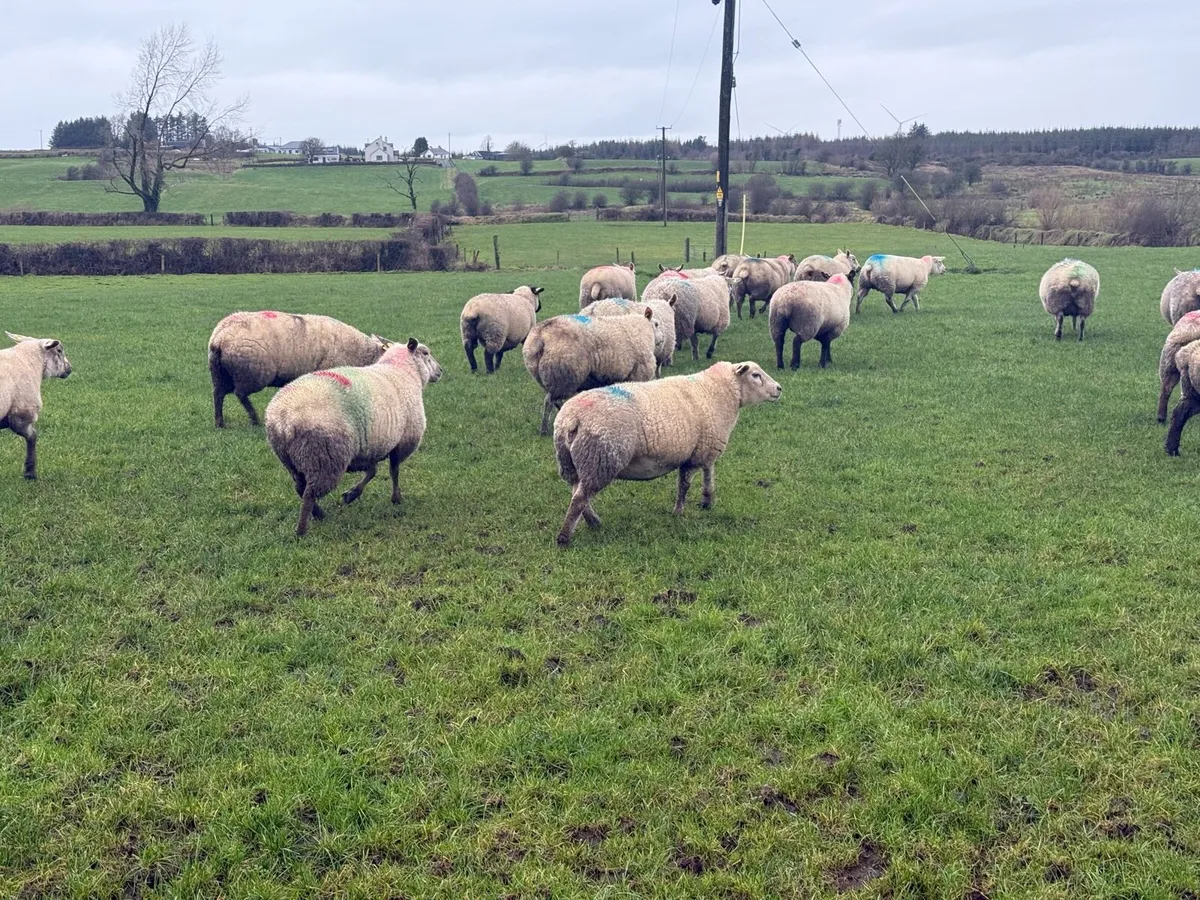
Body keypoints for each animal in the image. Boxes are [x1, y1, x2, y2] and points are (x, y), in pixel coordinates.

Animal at [209, 311, 389, 428]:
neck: (363, 354)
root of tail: (220, 337)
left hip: (220, 373)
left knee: (218, 394)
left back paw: (219, 422)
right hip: (250, 372)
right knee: (240, 394)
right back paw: (254, 420)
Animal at [264, 338, 442, 536]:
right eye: (425, 353)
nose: (440, 371)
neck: (402, 370)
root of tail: (283, 419)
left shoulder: (369, 447)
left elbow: (372, 472)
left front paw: (351, 495)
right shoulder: (403, 442)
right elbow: (394, 471)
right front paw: (396, 498)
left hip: (291, 459)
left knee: (300, 487)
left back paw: (319, 514)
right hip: (324, 458)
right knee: (309, 492)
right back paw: (302, 529)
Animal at [522, 310, 659, 436]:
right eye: (657, 324)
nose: (661, 340)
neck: (644, 328)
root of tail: (541, 335)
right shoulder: (639, 373)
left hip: (548, 378)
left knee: (554, 401)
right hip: (562, 376)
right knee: (550, 402)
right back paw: (545, 430)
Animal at [552, 361, 782, 546]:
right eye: (755, 375)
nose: (779, 389)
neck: (716, 391)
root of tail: (571, 419)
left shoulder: (704, 450)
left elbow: (708, 475)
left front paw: (707, 501)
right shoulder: (697, 454)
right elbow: (684, 485)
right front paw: (679, 512)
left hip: (574, 463)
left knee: (577, 492)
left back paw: (594, 522)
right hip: (600, 460)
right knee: (579, 498)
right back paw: (564, 537)